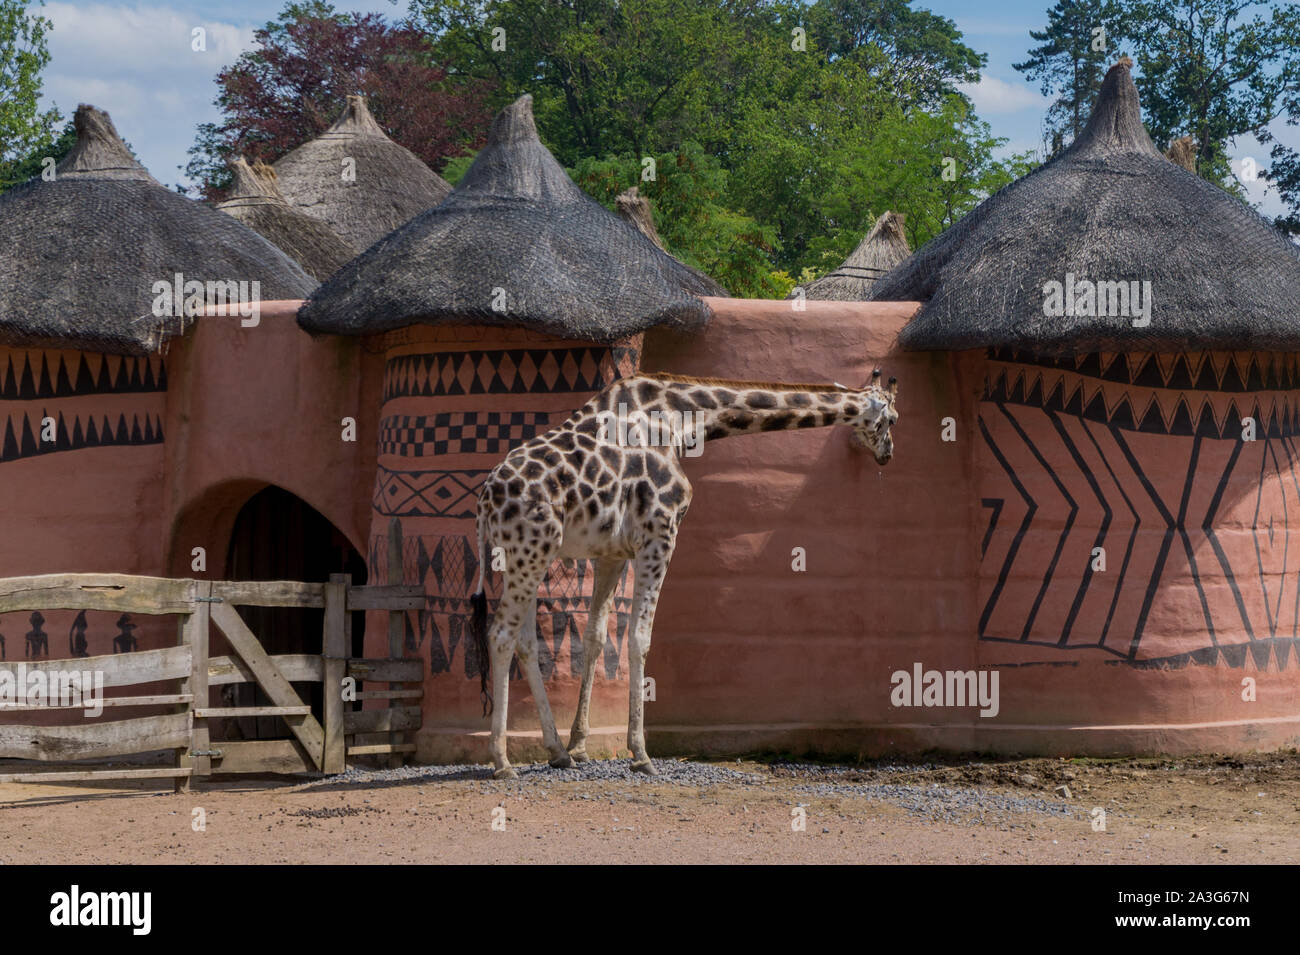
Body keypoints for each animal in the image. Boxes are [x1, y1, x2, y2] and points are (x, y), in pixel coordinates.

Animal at [470, 366, 904, 779]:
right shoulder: (660, 534)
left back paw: (556, 751)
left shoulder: (611, 552)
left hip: (527, 556)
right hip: (531, 550)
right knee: (501, 634)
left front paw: (578, 745)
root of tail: (485, 502)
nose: (887, 455)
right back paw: (501, 761)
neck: (681, 421)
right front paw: (640, 754)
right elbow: (639, 638)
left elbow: (595, 638)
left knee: (525, 642)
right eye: (893, 419)